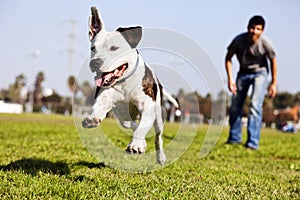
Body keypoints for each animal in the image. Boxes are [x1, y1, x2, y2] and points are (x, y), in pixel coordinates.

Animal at [81, 7, 180, 165]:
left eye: (114, 48)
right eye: (93, 48)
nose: (95, 62)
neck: (124, 81)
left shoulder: (147, 105)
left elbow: (143, 127)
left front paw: (136, 145)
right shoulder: (106, 97)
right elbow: (99, 107)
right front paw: (92, 119)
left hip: (158, 115)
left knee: (157, 136)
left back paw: (160, 156)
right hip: (122, 117)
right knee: (131, 125)